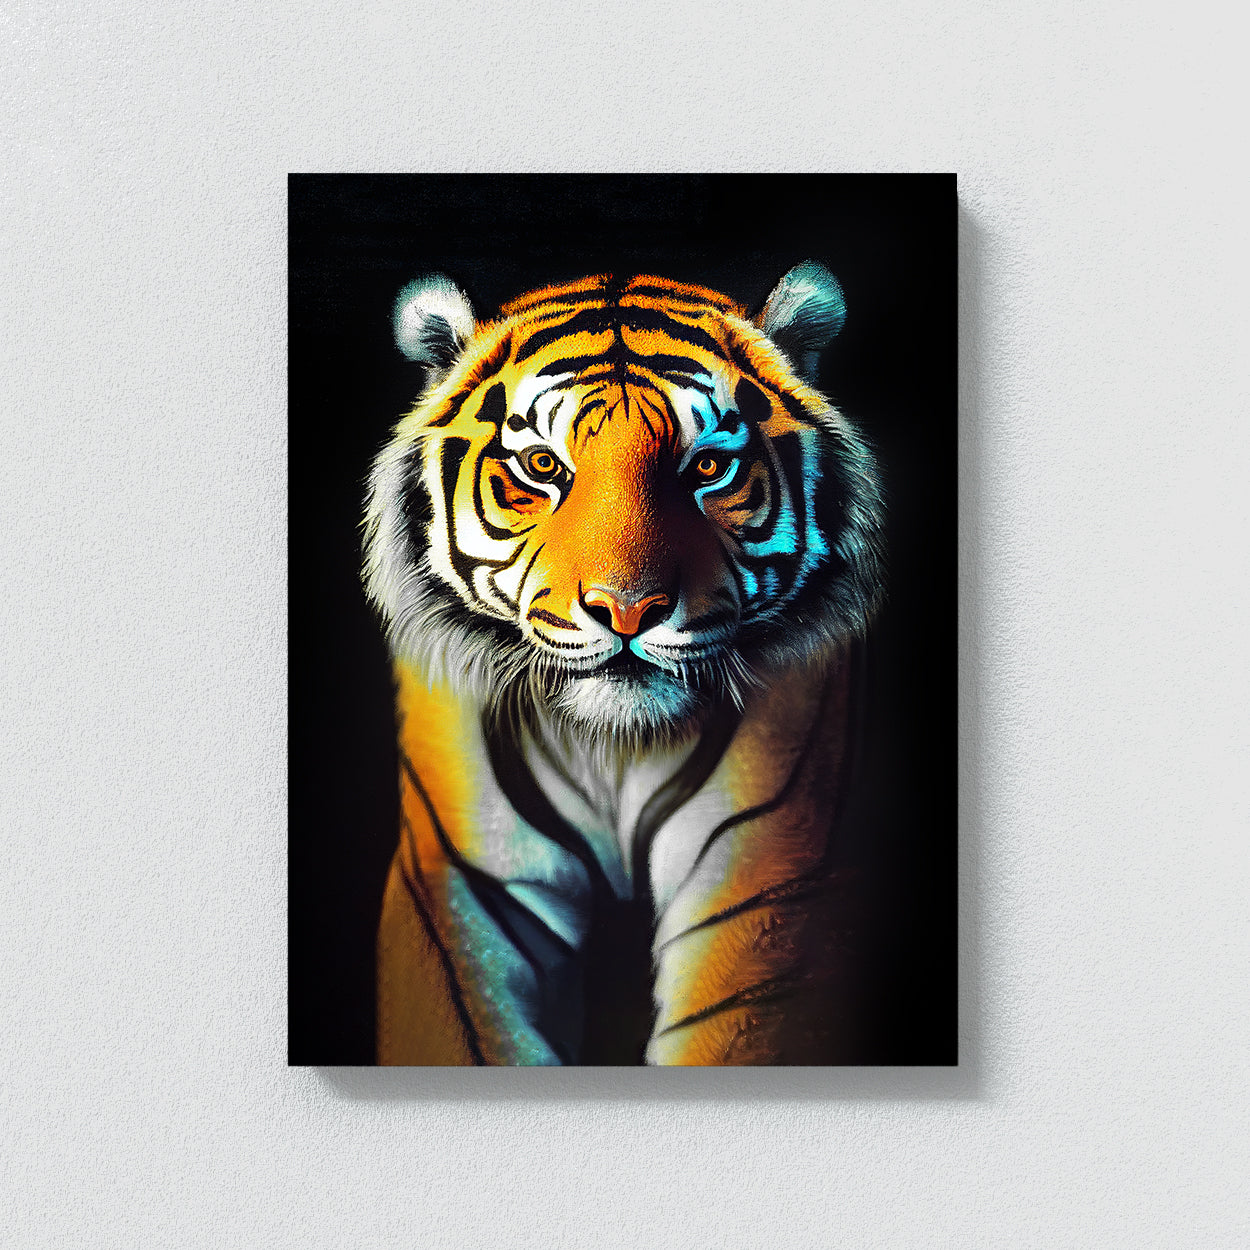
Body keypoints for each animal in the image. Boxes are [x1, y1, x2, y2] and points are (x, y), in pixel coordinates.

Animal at [362, 265, 886, 1065]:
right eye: (542, 466)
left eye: (708, 467)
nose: (628, 609)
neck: (613, 748)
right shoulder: (457, 887)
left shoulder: (768, 885)